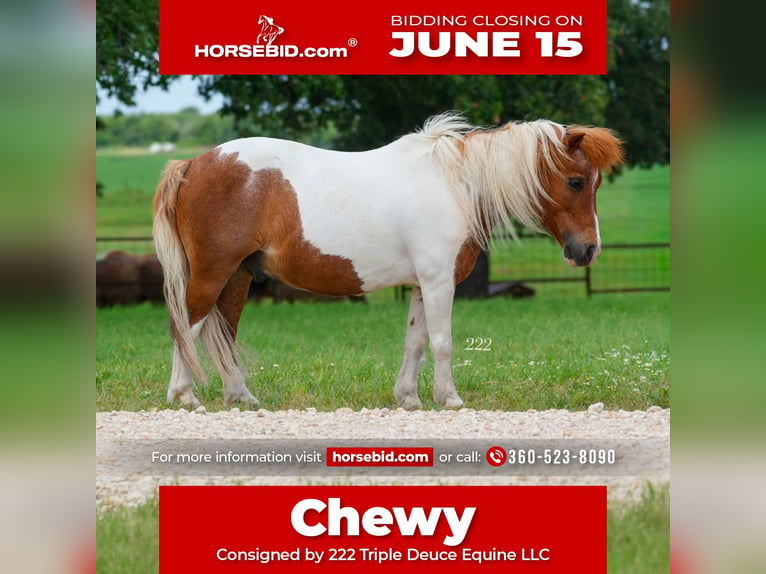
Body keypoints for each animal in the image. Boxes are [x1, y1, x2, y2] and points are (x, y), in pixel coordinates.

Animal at [152, 113, 623, 409]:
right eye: (576, 181)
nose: (588, 250)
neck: (454, 185)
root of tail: (193, 163)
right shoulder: (438, 281)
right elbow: (442, 341)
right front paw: (449, 398)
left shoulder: (420, 284)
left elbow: (415, 341)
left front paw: (409, 398)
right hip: (213, 273)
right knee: (187, 327)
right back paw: (183, 396)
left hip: (237, 277)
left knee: (223, 333)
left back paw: (241, 398)